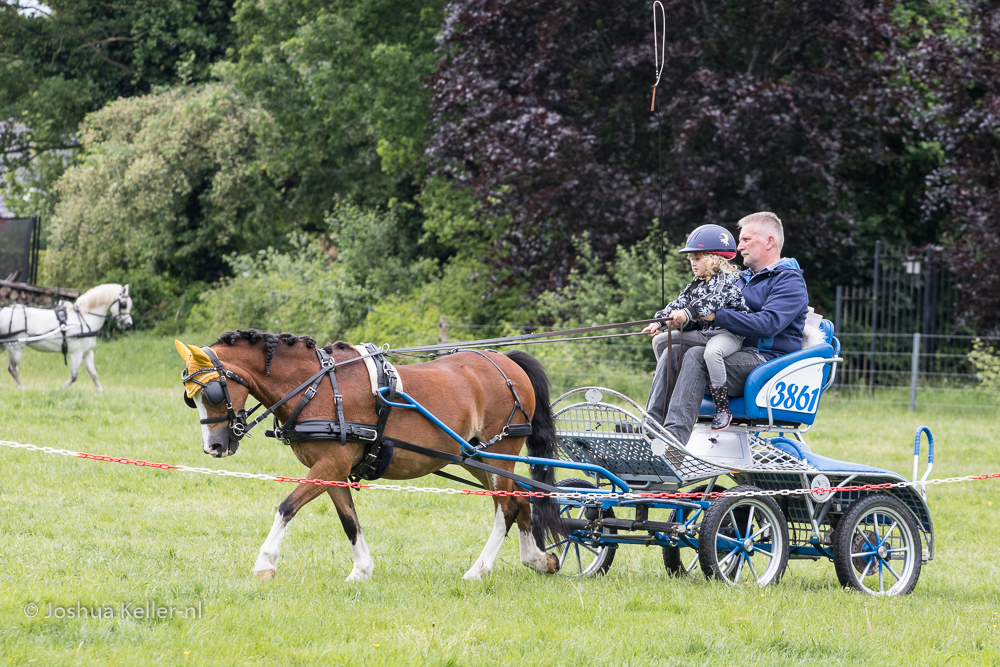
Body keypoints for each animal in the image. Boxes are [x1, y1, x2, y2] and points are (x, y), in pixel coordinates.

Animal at [0, 284, 133, 392]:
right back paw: (22, 388)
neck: (83, 318)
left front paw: (100, 391)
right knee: (13, 369)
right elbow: (74, 376)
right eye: (124, 304)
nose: (128, 323)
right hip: (16, 347)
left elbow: (93, 373)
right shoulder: (76, 353)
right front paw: (59, 389)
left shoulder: (87, 352)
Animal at [172, 332, 564, 580]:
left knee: (506, 508)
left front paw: (264, 564)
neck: (316, 387)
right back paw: (537, 560)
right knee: (520, 498)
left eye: (212, 392)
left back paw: (479, 571)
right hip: (475, 456)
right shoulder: (333, 469)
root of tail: (506, 361)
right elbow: (349, 520)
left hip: (499, 454)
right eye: (190, 398)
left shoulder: (329, 465)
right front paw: (361, 571)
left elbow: (286, 507)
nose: (213, 447)